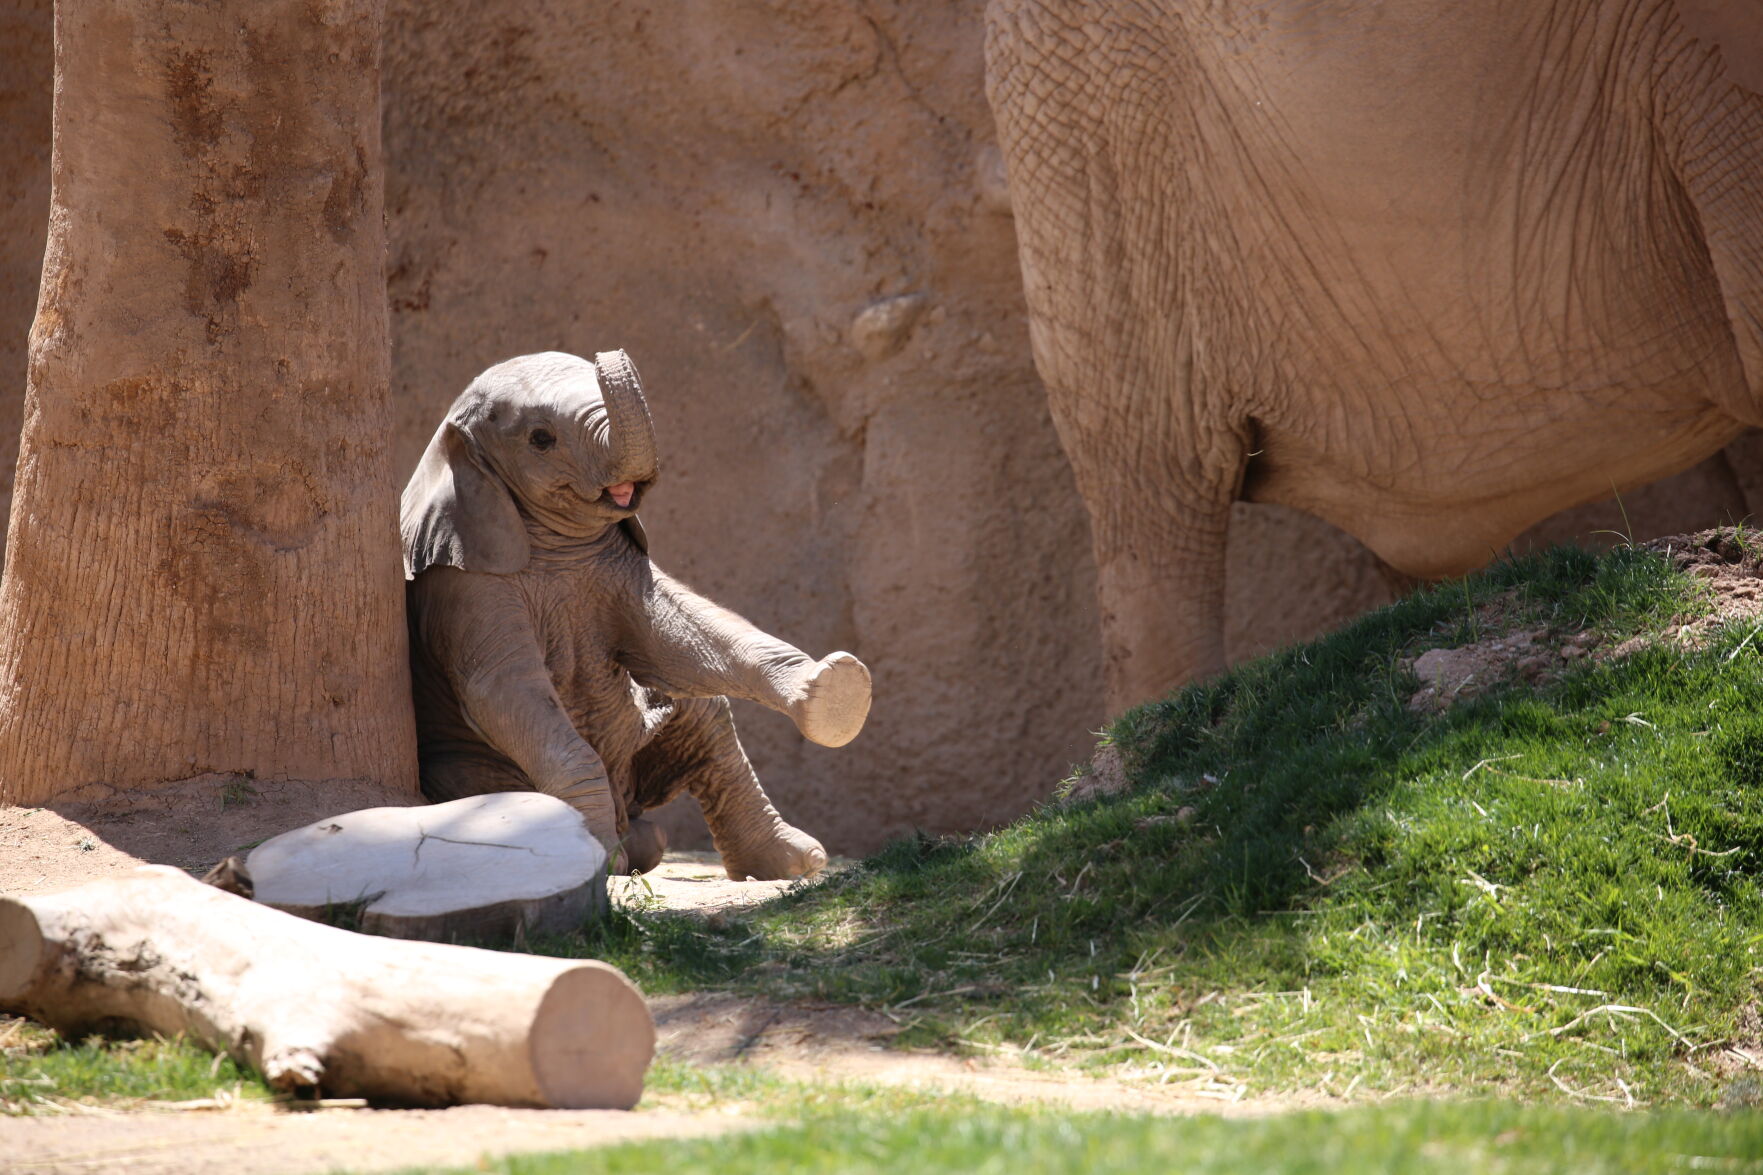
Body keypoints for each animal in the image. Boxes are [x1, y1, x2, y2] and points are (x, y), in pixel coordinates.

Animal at [400, 352, 867, 875]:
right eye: (541, 438)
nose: (608, 354)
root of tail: (630, 810)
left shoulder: (619, 558)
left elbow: (678, 636)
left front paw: (836, 690)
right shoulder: (465, 583)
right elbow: (504, 689)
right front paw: (593, 858)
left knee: (709, 722)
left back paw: (794, 862)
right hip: (464, 769)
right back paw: (616, 854)